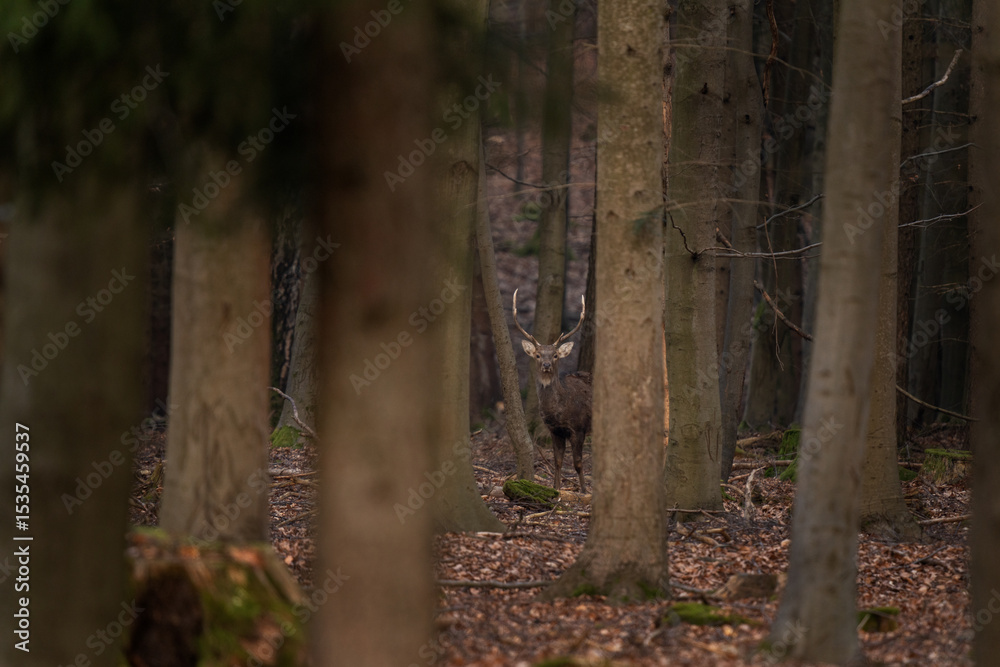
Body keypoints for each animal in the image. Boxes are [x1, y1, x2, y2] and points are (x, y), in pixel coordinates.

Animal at [513, 289, 592, 493]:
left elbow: (578, 462)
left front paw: (583, 490)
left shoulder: (578, 427)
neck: (559, 410)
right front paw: (556, 489)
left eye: (555, 355)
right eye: (538, 355)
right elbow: (557, 461)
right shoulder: (554, 430)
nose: (547, 365)